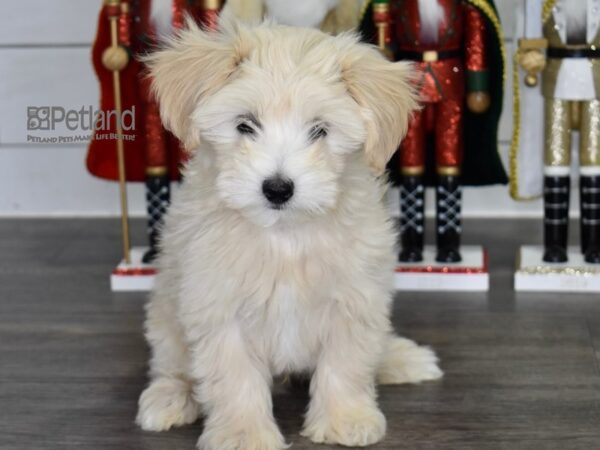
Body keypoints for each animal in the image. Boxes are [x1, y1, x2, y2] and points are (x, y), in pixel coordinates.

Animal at [138, 17, 442, 450]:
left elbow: (346, 364)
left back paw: (400, 358)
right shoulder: (219, 308)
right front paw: (244, 434)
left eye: (319, 131)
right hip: (165, 316)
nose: (278, 188)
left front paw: (345, 419)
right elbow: (234, 378)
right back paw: (170, 397)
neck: (284, 236)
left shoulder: (354, 300)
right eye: (245, 124)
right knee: (171, 363)